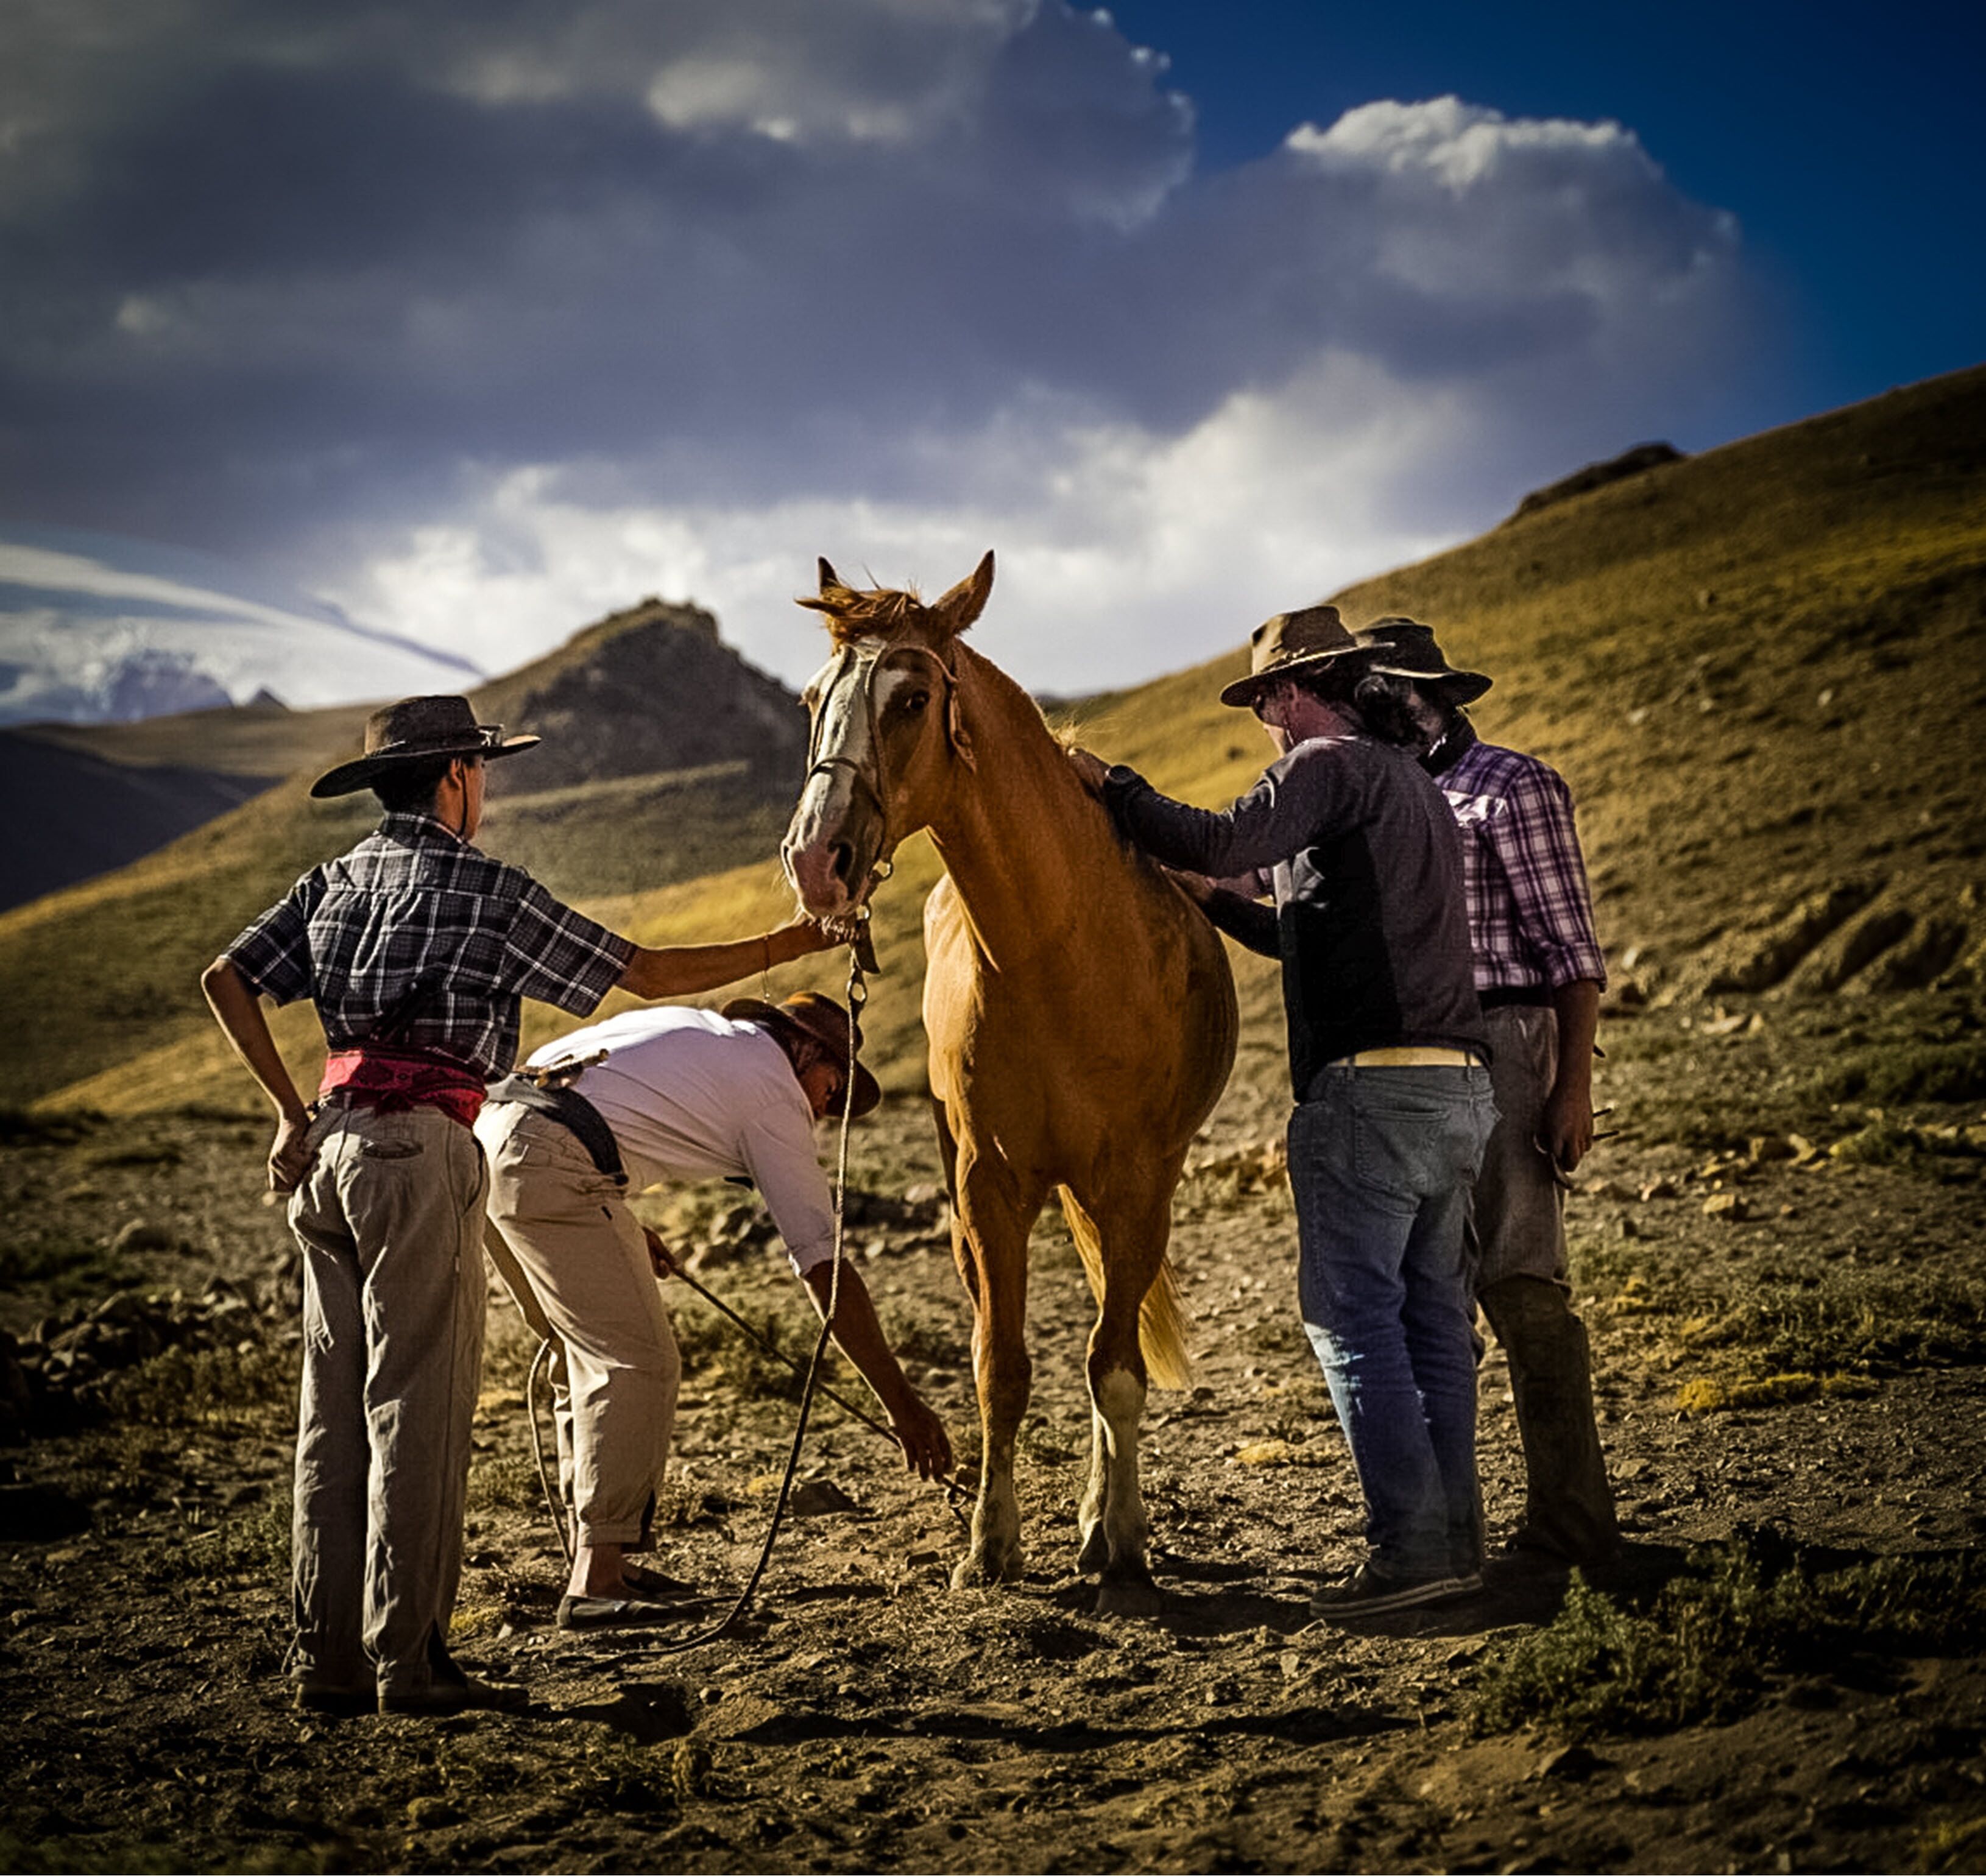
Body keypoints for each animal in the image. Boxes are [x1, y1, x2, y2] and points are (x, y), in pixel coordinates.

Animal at [780, 550, 1238, 1611]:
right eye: (813, 699)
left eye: (911, 697)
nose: (816, 864)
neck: (1060, 954)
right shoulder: (989, 1189)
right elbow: (1001, 1368)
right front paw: (989, 1545)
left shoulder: (1137, 1187)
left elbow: (1114, 1368)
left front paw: (1122, 1543)